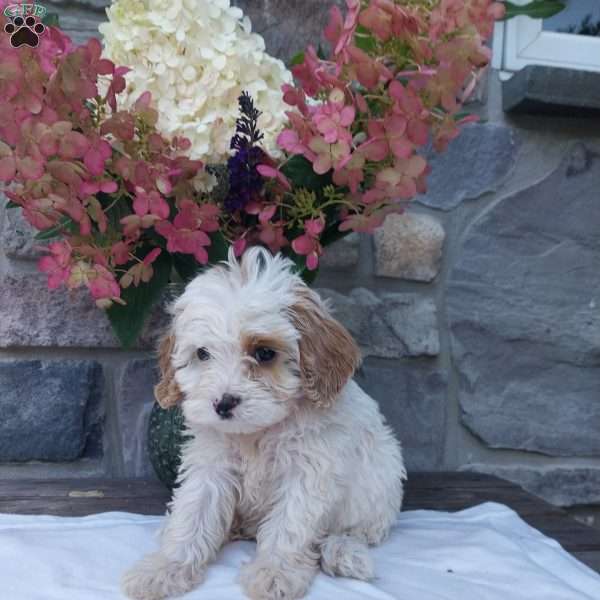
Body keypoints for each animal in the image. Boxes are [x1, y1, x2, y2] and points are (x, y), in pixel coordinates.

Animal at [122, 247, 406, 600]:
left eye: (265, 353)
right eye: (202, 354)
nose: (222, 404)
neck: (257, 433)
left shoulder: (307, 472)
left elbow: (290, 525)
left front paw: (275, 572)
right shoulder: (211, 466)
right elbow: (193, 513)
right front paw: (165, 567)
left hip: (379, 489)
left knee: (355, 532)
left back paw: (343, 552)